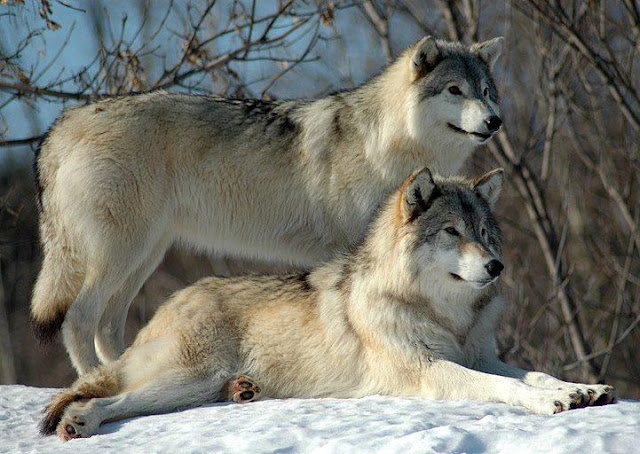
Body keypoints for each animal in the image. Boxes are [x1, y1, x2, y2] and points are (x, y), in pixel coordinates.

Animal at [31, 35, 505, 375]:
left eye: (486, 91)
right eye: (455, 90)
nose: (494, 121)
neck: (388, 144)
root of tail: (62, 125)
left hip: (142, 258)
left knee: (107, 325)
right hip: (120, 255)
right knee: (78, 320)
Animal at [41, 168, 615, 442]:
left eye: (484, 233)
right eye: (452, 232)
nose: (496, 267)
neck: (445, 315)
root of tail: (170, 300)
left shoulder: (481, 355)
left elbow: (532, 373)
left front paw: (580, 389)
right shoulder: (431, 370)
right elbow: (505, 388)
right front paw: (550, 403)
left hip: (193, 385)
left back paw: (243, 392)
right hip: (183, 375)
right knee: (107, 399)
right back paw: (81, 424)